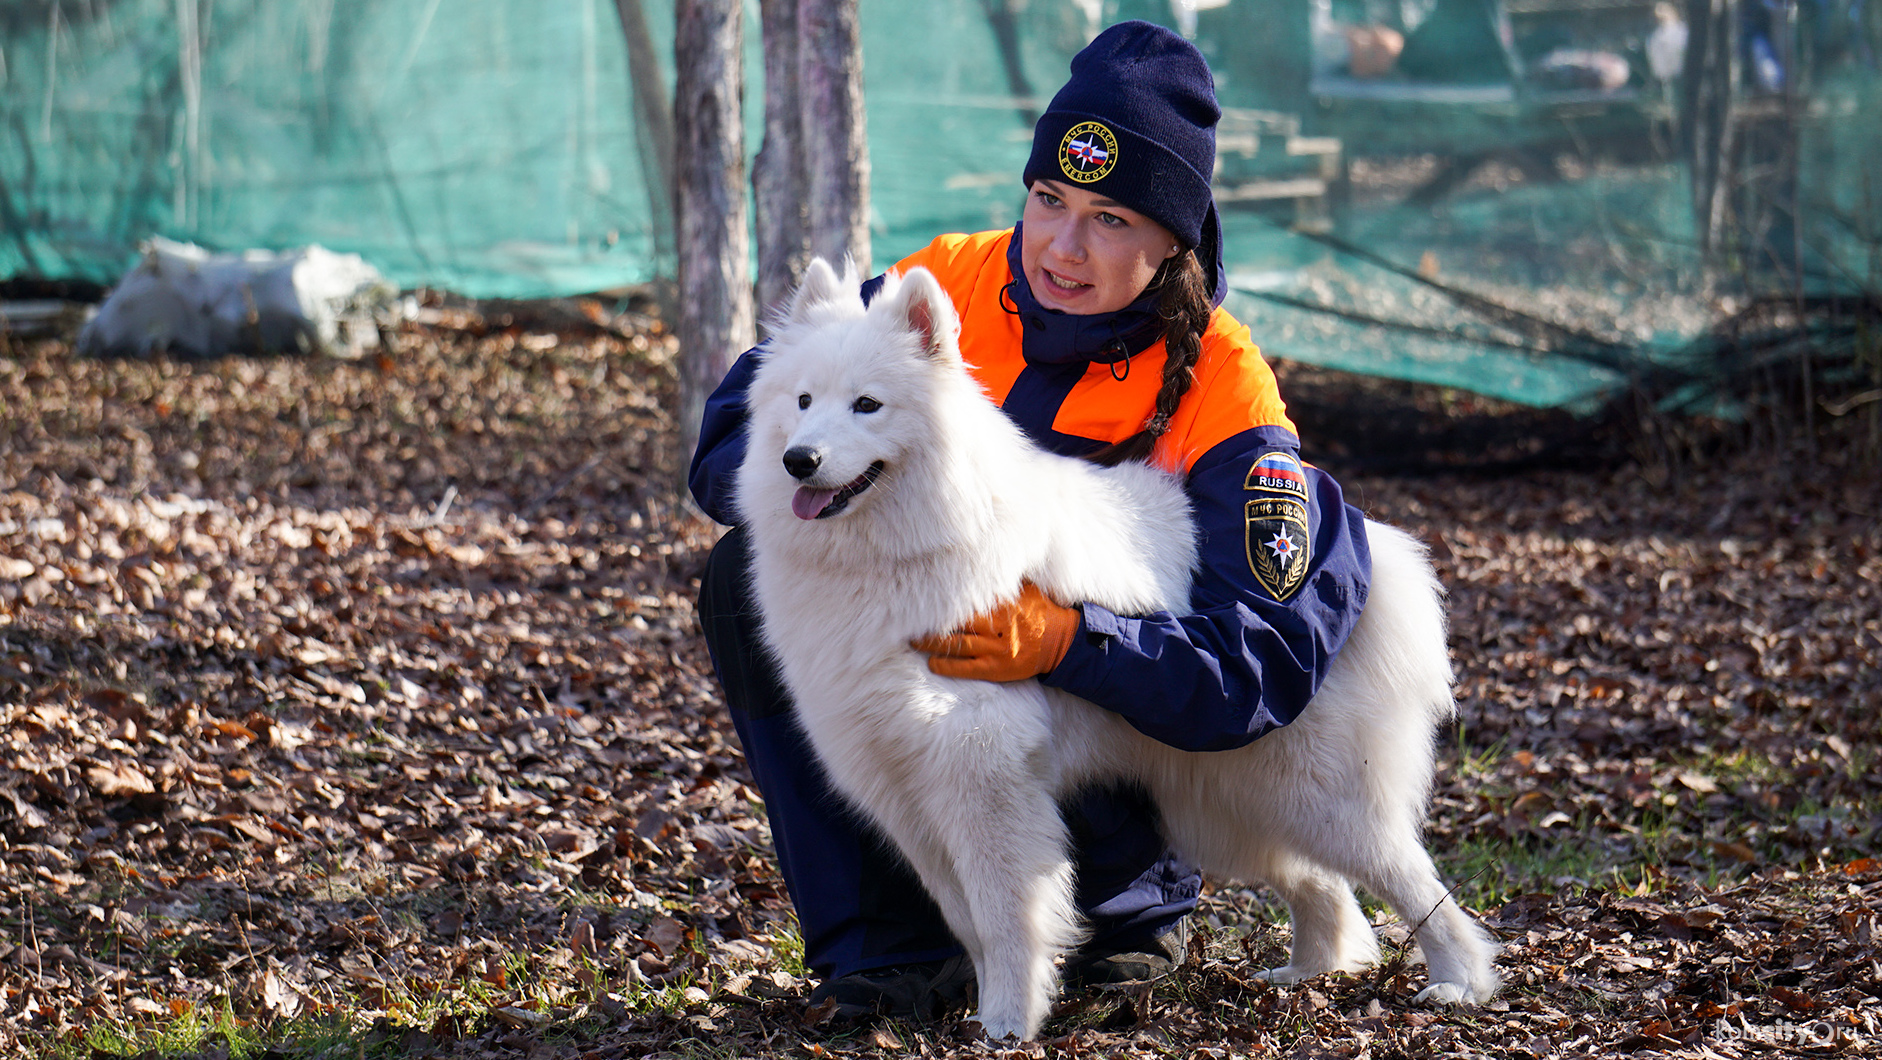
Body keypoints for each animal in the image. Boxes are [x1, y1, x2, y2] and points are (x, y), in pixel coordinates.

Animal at [733, 261, 1498, 1039]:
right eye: (803, 401)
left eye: (868, 405)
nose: (799, 460)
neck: (901, 550)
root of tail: (1358, 556)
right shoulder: (900, 787)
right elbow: (967, 920)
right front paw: (983, 1004)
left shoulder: (984, 780)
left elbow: (1006, 918)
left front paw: (1006, 1023)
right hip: (1227, 799)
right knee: (1321, 884)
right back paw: (1310, 971)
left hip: (1313, 795)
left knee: (1415, 882)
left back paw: (1459, 981)